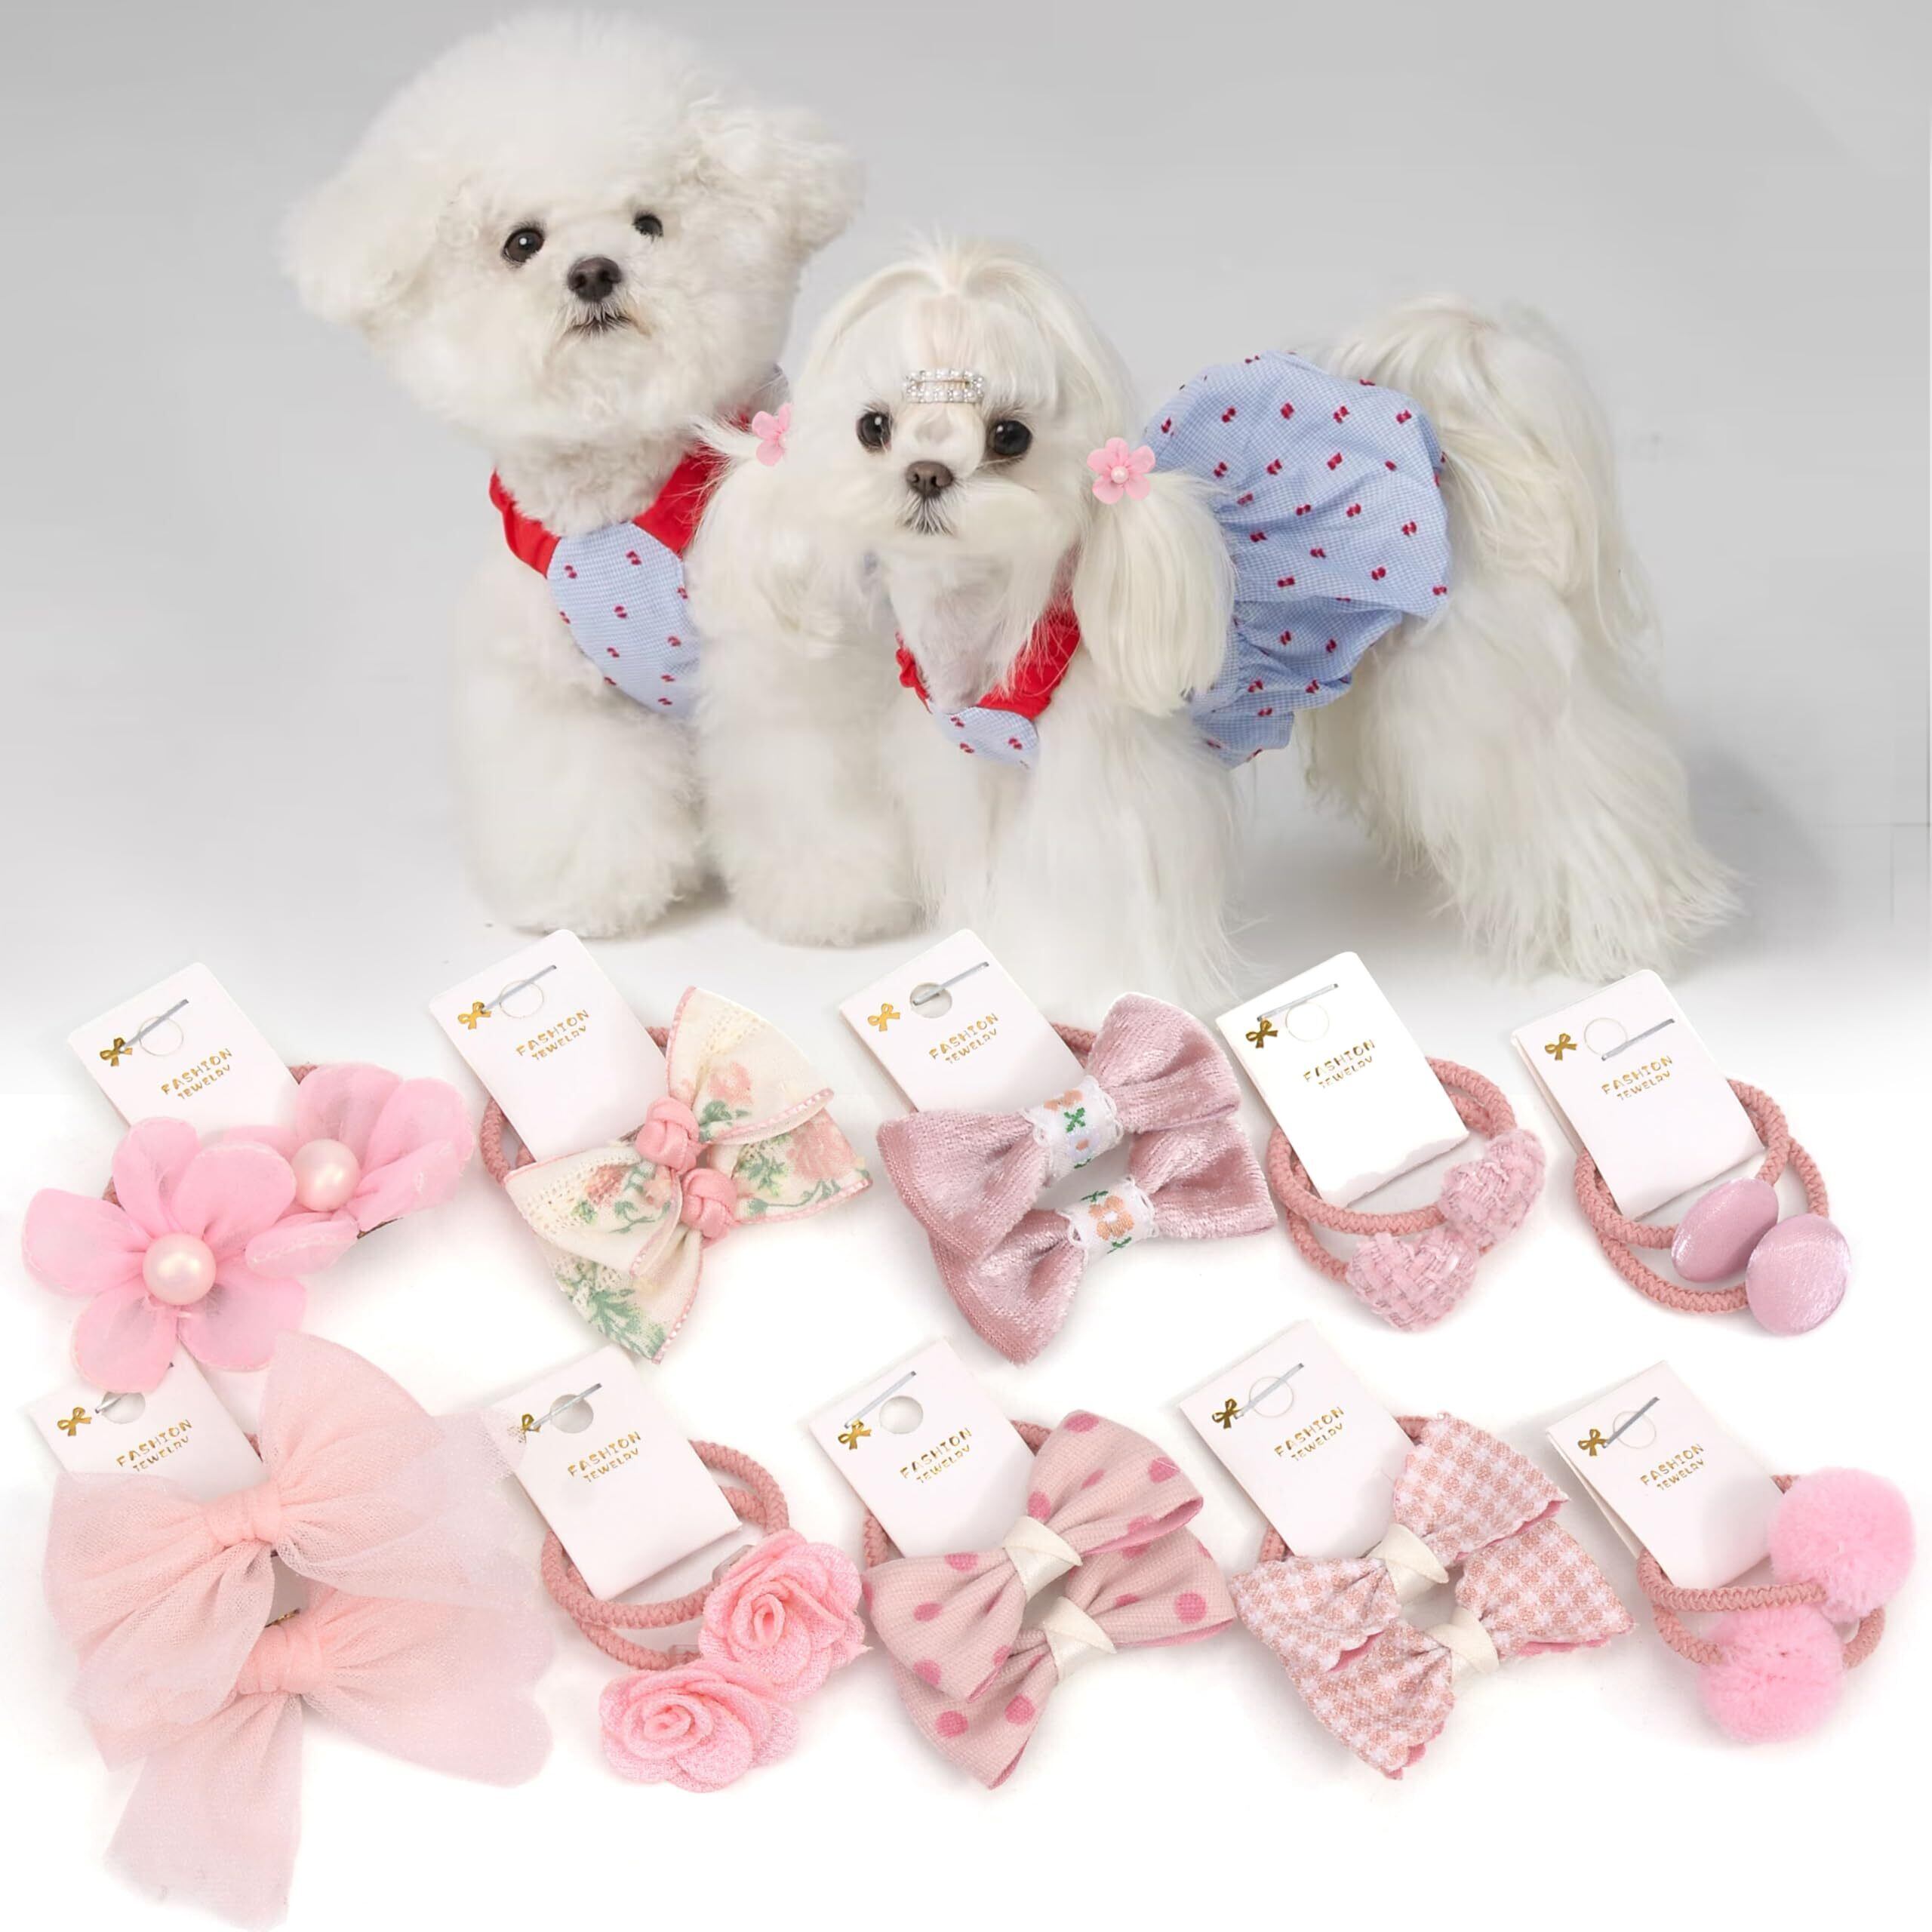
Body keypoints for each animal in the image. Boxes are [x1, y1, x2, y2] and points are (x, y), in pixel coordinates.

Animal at [285, 13, 906, 940]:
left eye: (648, 223)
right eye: (523, 243)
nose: (593, 272)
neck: (619, 503)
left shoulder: (789, 676)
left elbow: (805, 788)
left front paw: (831, 896)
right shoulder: (558, 688)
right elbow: (579, 792)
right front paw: (583, 892)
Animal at [715, 240, 1733, 1003]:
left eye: (1009, 435)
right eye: (873, 428)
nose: (928, 474)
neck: (991, 622)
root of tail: (1451, 446)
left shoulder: (1106, 800)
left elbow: (1092, 907)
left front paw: (1089, 1001)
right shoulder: (977, 776)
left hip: (1479, 689)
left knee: (1571, 801)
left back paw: (1622, 931)